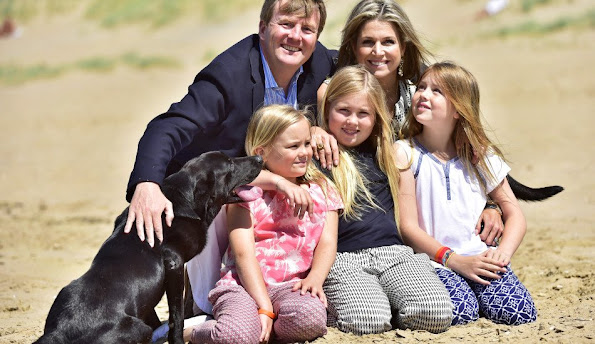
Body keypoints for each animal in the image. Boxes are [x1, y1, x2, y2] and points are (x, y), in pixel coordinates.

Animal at [34, 153, 264, 344]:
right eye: (230, 163)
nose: (259, 158)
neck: (183, 197)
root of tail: (59, 332)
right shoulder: (174, 264)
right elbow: (176, 317)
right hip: (137, 328)